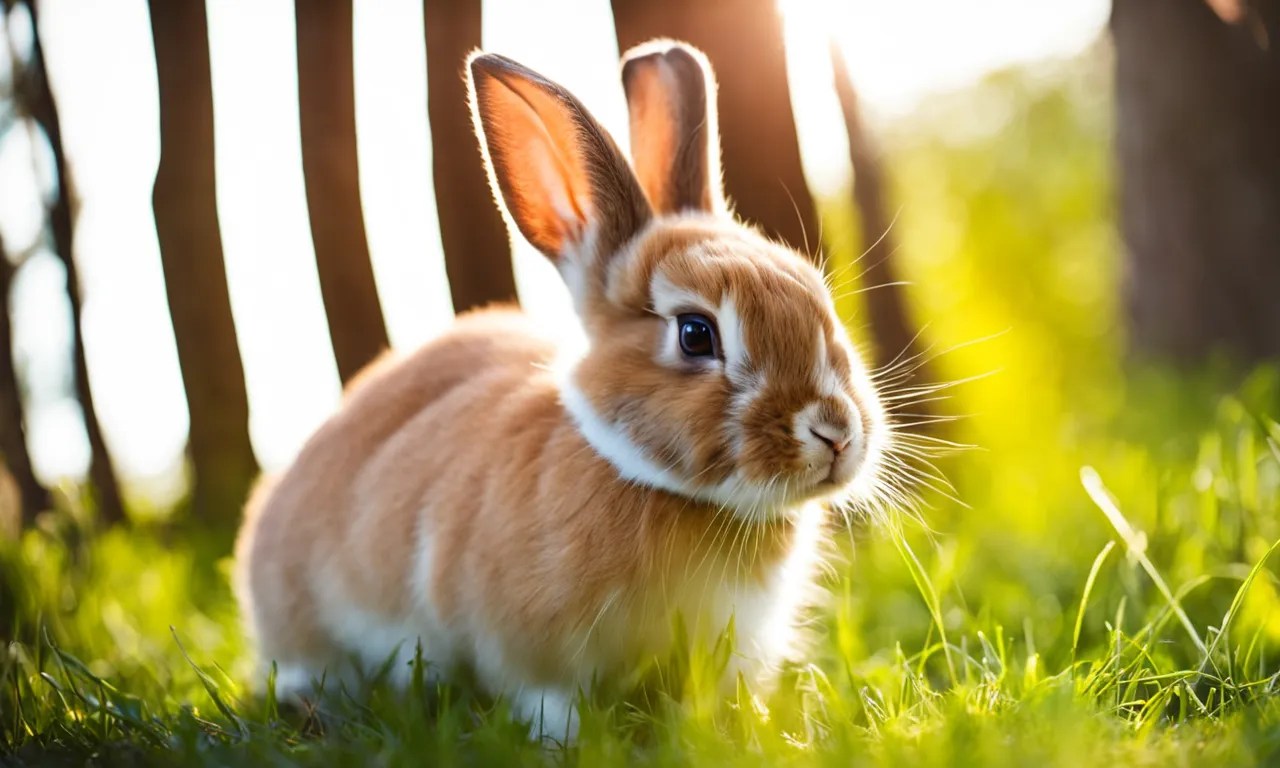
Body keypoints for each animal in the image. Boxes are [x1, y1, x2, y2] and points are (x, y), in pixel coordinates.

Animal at [233, 39, 890, 742]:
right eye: (695, 334)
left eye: (818, 301)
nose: (835, 432)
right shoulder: (532, 655)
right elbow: (550, 702)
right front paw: (570, 743)